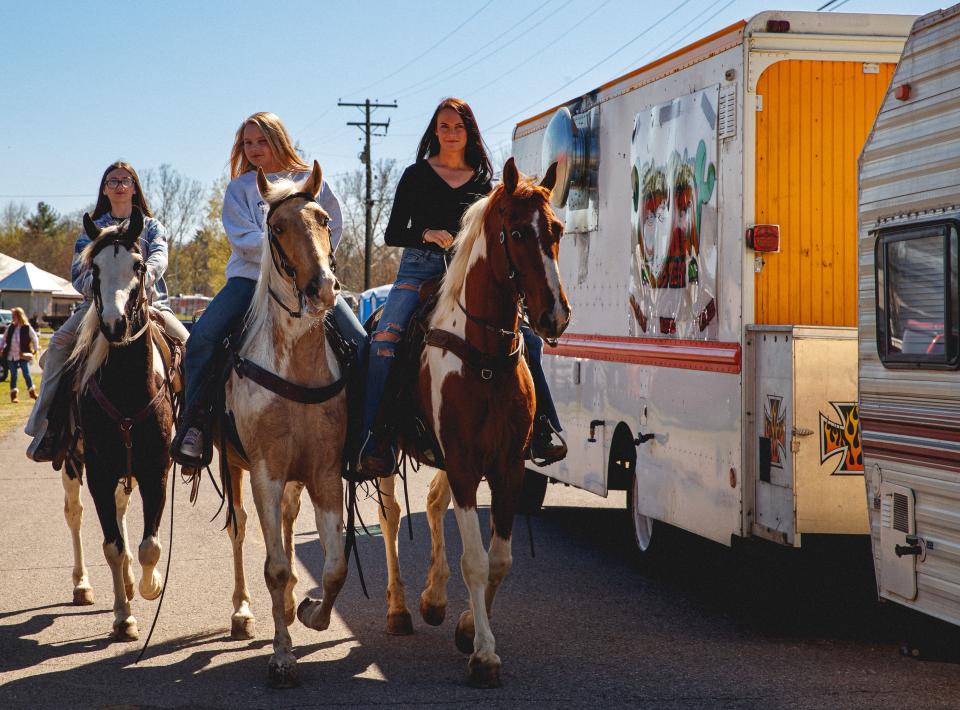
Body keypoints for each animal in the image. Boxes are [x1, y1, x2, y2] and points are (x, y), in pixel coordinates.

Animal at [376, 159, 568, 688]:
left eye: (558, 230)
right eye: (518, 231)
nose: (555, 316)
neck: (482, 355)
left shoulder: (507, 466)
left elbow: (499, 560)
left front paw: (466, 627)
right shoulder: (464, 464)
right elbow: (476, 561)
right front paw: (484, 654)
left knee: (432, 503)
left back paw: (434, 598)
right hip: (388, 455)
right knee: (391, 517)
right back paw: (400, 609)